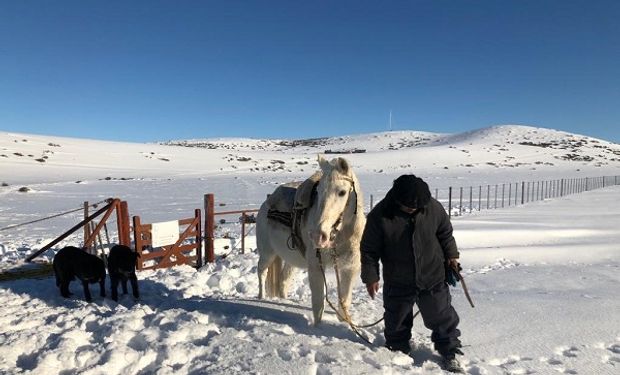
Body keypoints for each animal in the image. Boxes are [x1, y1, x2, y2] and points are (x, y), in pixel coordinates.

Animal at [256, 156, 364, 326]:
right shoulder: (316, 266)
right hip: (267, 253)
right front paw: (317, 328)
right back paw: (261, 298)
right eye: (318, 192)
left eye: (342, 192)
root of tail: (265, 205)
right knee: (261, 271)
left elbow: (344, 301)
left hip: (291, 260)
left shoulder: (349, 268)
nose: (318, 235)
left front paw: (344, 321)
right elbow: (319, 304)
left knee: (283, 280)